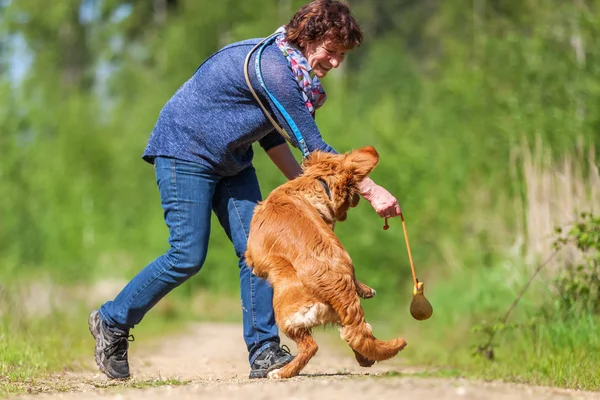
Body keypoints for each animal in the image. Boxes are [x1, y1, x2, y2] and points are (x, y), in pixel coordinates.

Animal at [245, 146, 408, 378]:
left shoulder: (253, 255)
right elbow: (356, 276)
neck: (314, 184)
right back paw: (365, 358)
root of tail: (338, 289)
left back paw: (282, 372)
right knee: (357, 333)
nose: (356, 201)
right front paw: (367, 289)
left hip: (285, 314)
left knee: (311, 347)